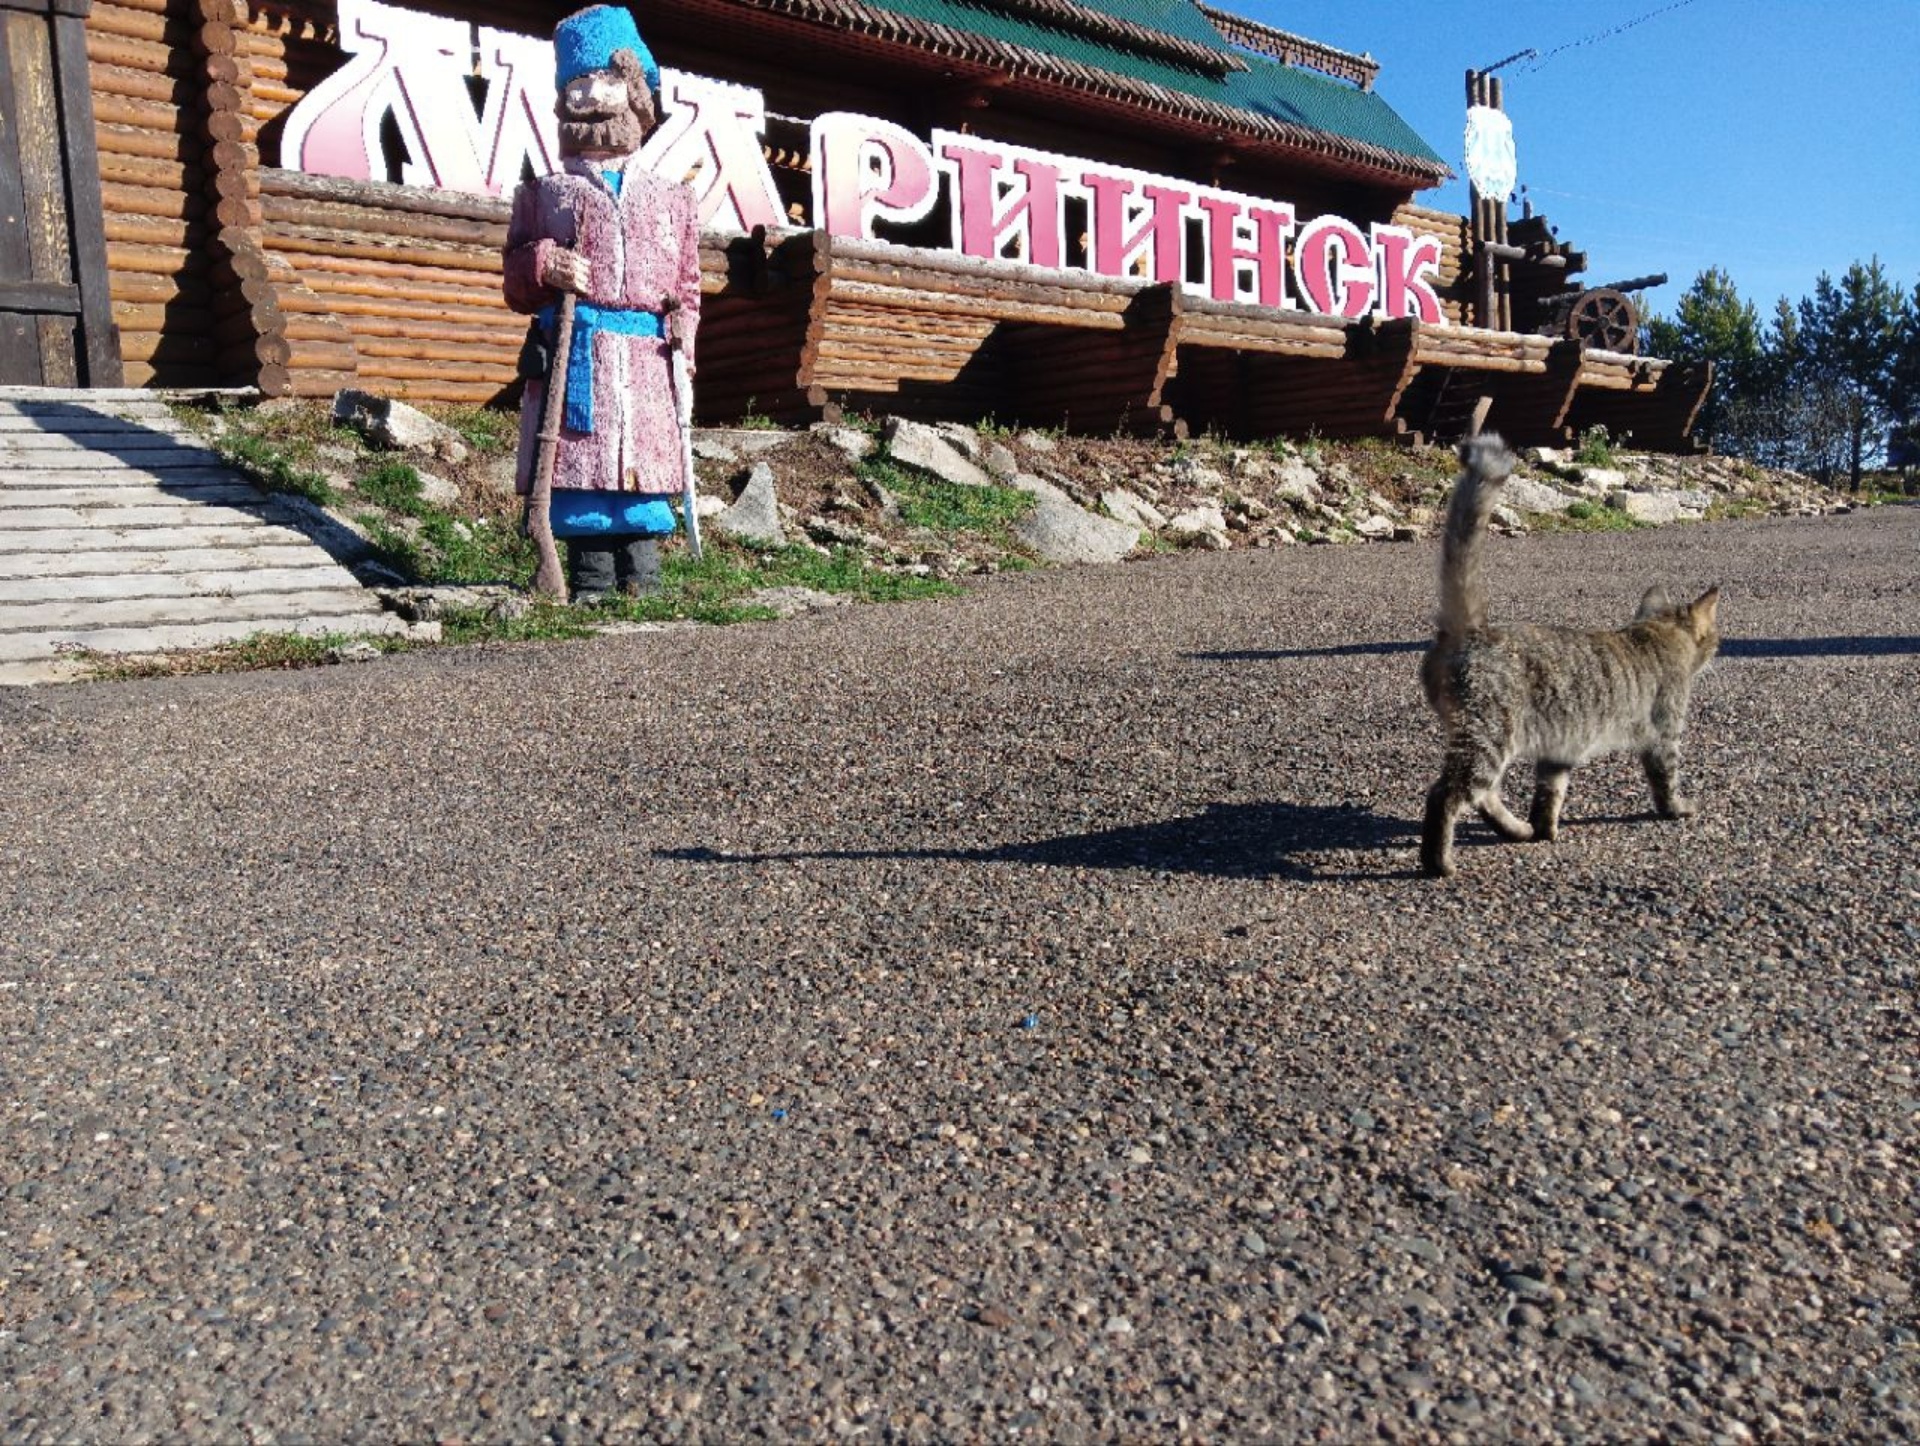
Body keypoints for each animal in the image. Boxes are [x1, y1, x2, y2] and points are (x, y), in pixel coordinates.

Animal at [1420, 433, 1720, 875]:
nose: (1717, 646)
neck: (1654, 632)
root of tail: (1473, 629)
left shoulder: (1560, 749)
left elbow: (1550, 795)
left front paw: (1545, 829)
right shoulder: (1664, 734)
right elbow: (1666, 781)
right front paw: (1678, 809)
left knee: (1484, 796)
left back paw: (1517, 830)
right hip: (1490, 734)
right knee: (1447, 794)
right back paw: (1438, 861)